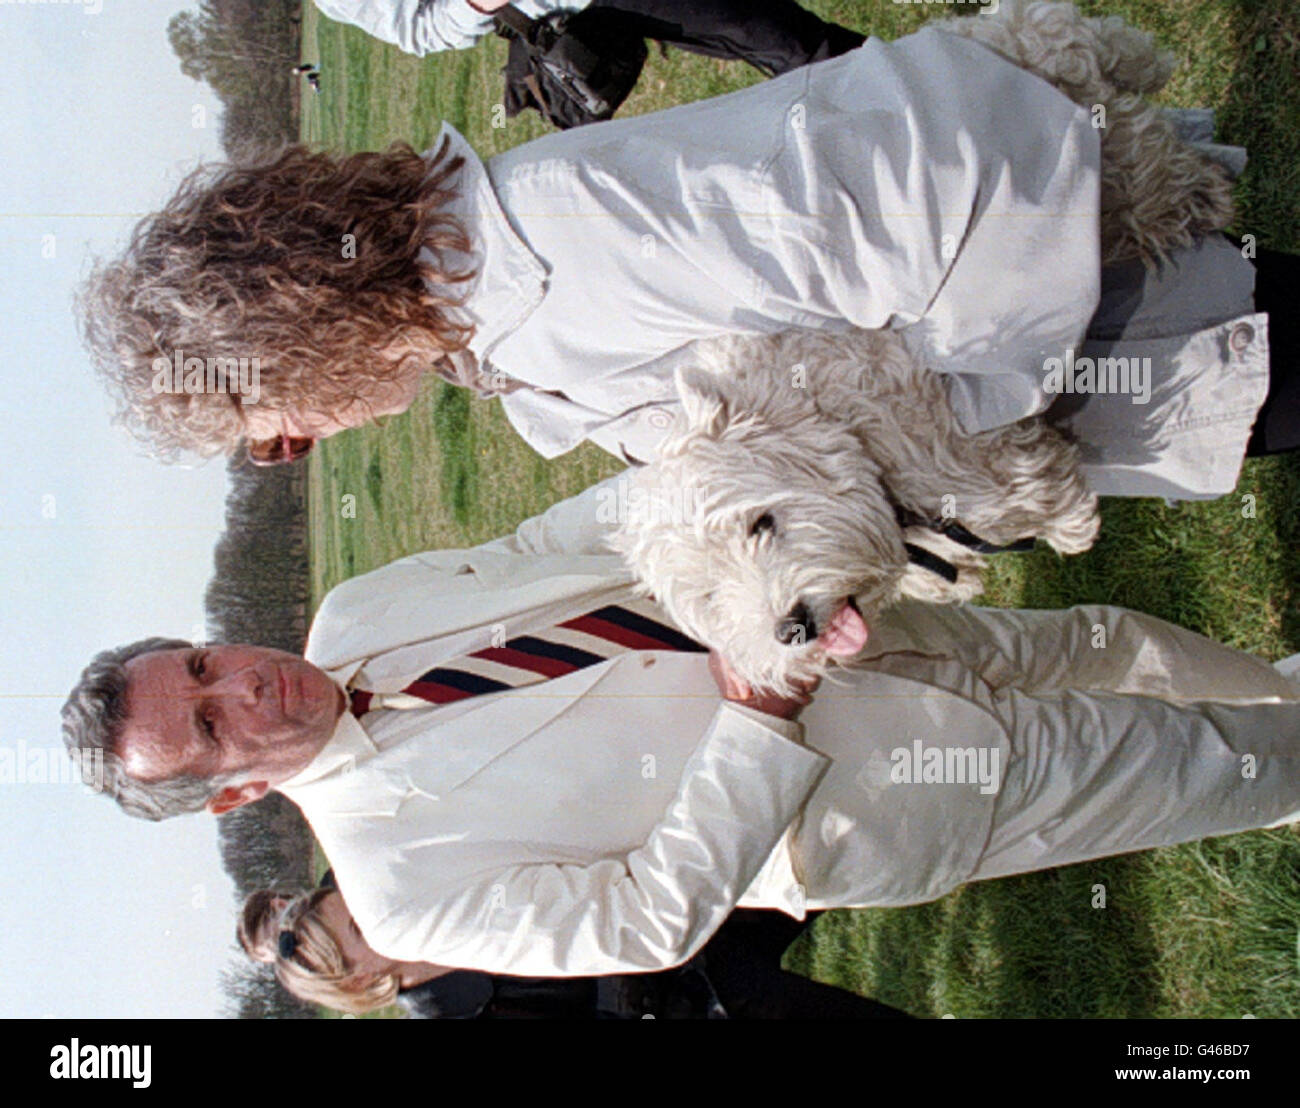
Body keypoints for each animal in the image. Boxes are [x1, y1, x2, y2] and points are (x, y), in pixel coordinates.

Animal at [608, 326, 1097, 691]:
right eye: (711, 596)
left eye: (761, 524)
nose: (792, 628)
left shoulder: (932, 441)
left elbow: (1002, 483)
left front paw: (1070, 523)